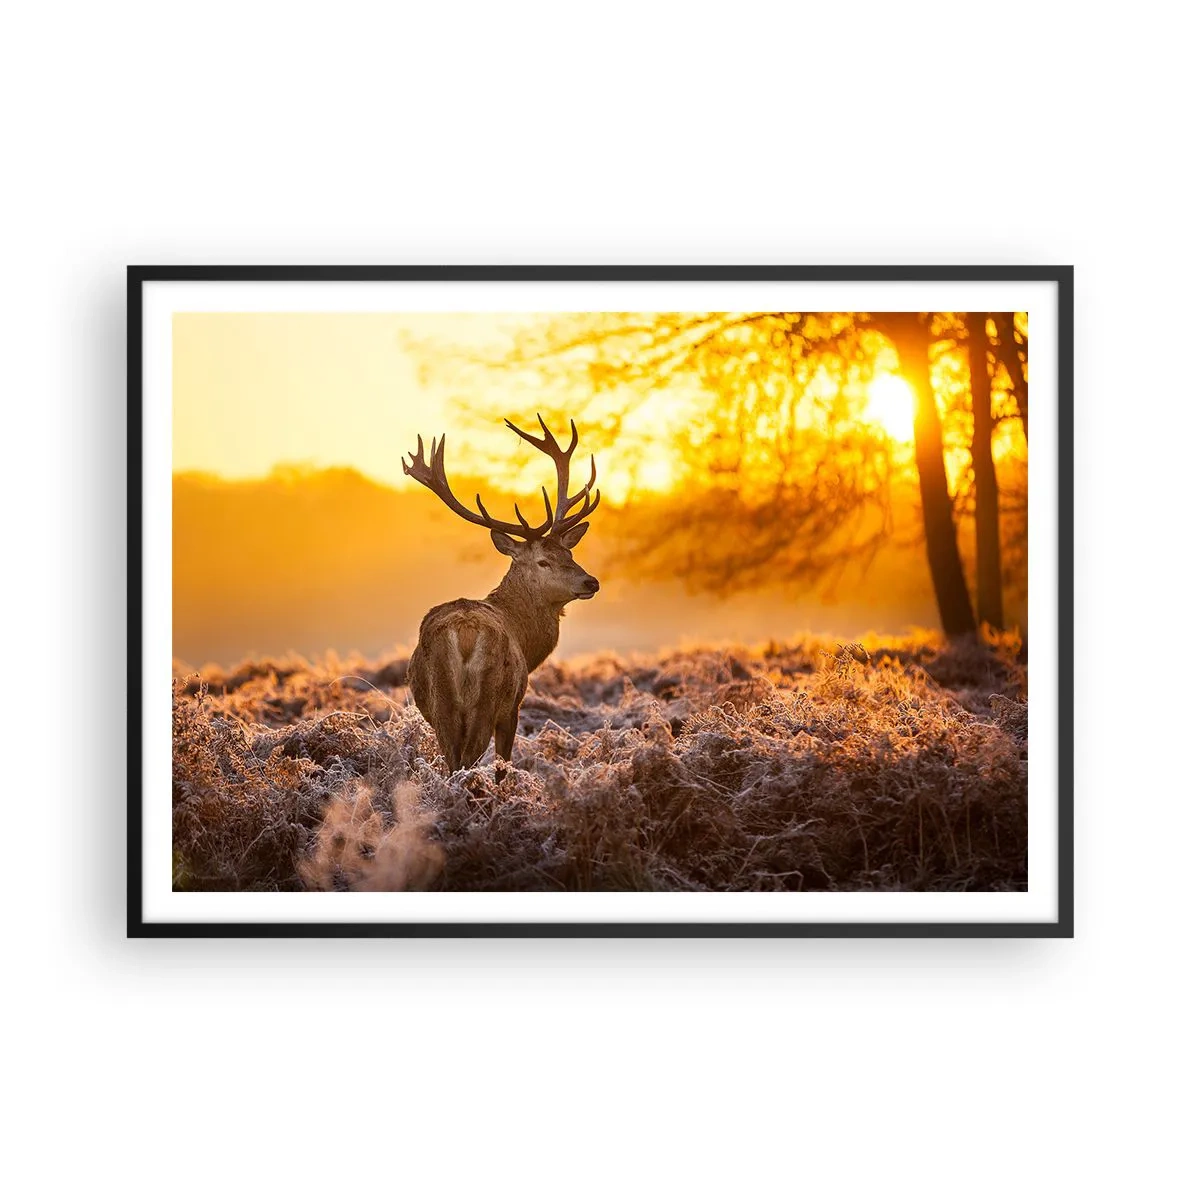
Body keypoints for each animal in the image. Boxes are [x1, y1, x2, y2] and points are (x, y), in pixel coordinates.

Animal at [402, 415, 601, 779]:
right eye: (543, 561)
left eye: (569, 553)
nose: (591, 582)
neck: (526, 640)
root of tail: (465, 632)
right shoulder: (513, 707)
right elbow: (503, 764)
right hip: (488, 698)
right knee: (468, 761)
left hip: (441, 704)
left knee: (452, 762)